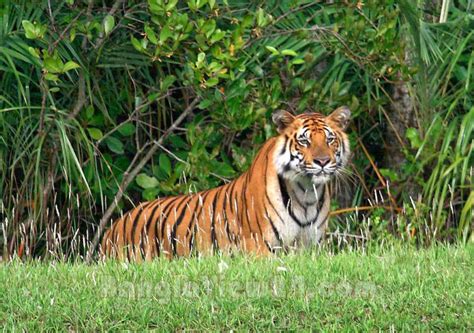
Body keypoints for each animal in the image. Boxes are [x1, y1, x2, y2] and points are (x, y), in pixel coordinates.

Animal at [101, 106, 352, 260]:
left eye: (329, 139)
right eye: (304, 141)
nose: (322, 161)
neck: (306, 192)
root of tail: (111, 229)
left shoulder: (311, 248)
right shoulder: (259, 248)